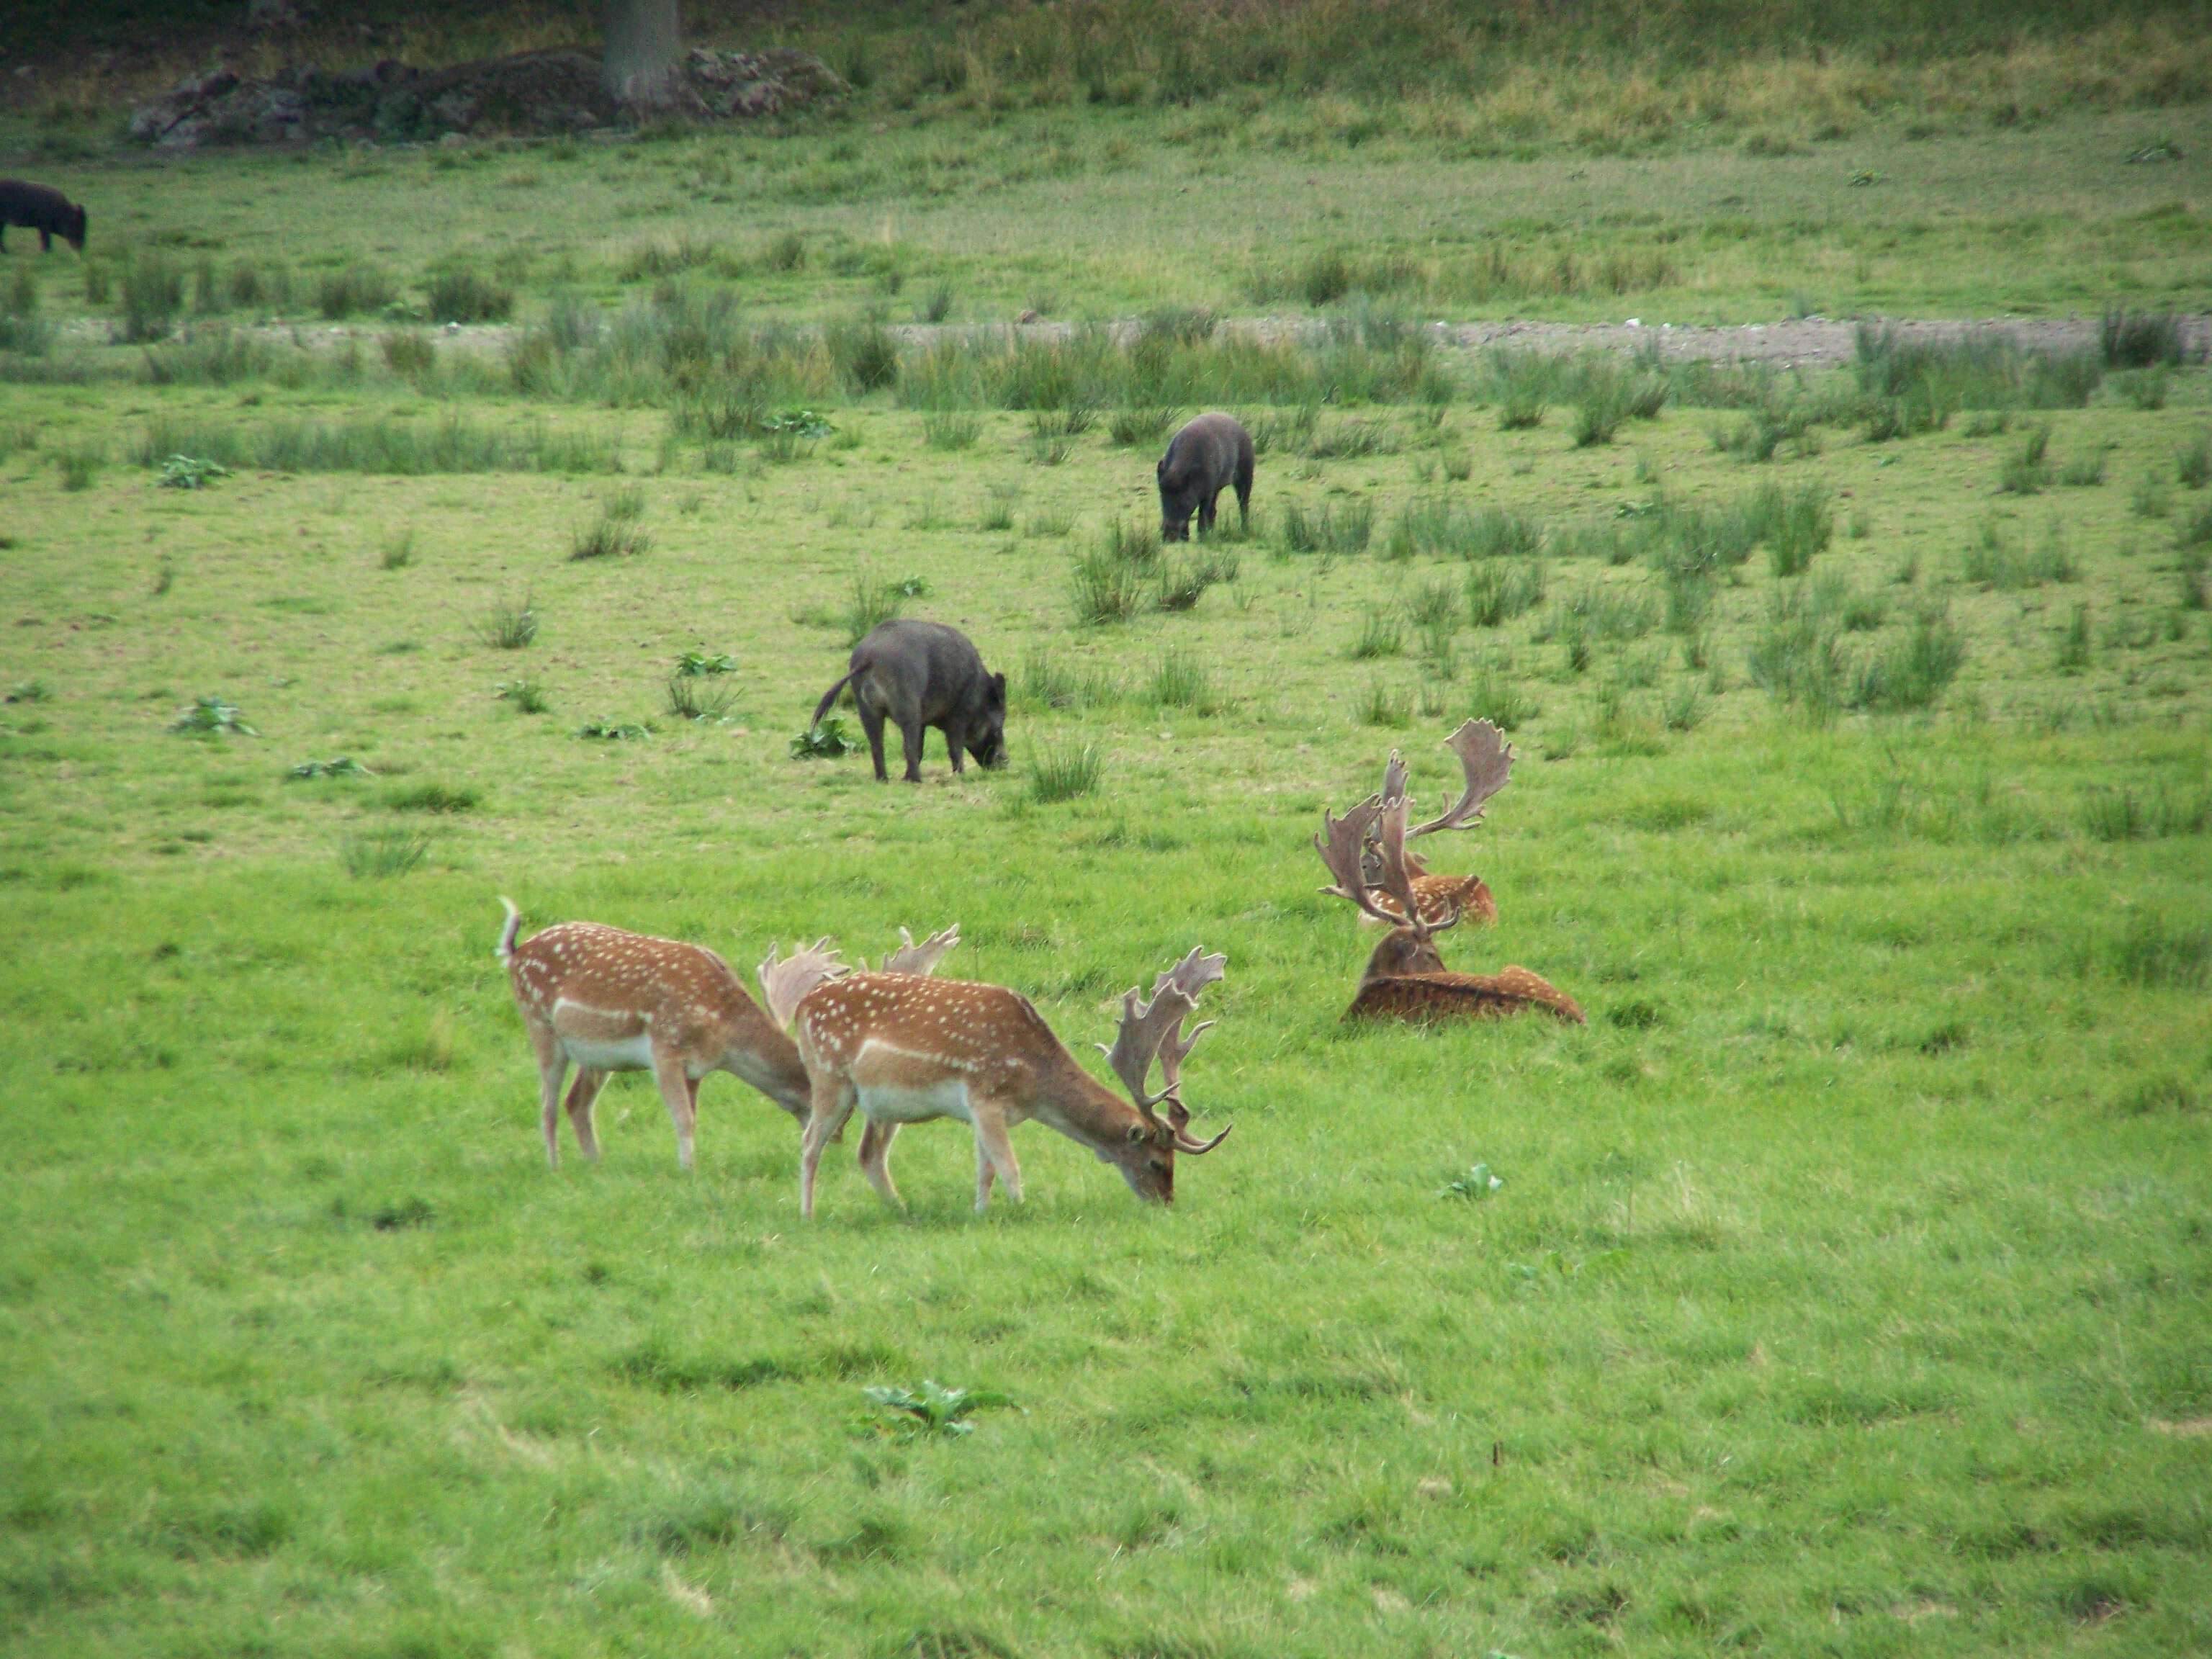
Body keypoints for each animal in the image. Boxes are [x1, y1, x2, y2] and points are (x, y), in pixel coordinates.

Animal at [498, 902, 849, 1177]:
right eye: (845, 1112)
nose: (838, 1141)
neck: (722, 1031)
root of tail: (516, 953)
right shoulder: (664, 1047)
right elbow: (683, 1119)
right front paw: (689, 1172)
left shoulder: (696, 1068)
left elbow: (691, 1116)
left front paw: (689, 1166)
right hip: (538, 1022)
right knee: (548, 1104)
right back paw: (554, 1166)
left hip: (597, 1056)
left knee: (575, 1102)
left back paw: (596, 1164)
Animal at [796, 946, 1238, 1220]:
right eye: (1156, 1162)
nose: (1166, 1204)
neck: (1033, 1082)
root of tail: (802, 1007)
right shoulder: (985, 1095)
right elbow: (1009, 1168)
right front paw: (1020, 1211)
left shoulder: (987, 1111)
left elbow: (985, 1170)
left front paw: (981, 1214)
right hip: (829, 1076)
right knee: (810, 1143)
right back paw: (808, 1214)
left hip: (883, 1106)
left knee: (868, 1154)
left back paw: (903, 1211)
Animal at [809, 624, 1008, 787]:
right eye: (999, 727)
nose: (1006, 764)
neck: (979, 695)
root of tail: (869, 657)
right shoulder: (959, 714)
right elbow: (954, 746)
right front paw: (961, 775)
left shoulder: (924, 720)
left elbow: (922, 745)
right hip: (907, 702)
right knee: (907, 745)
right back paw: (916, 780)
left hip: (866, 708)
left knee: (877, 744)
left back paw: (885, 780)